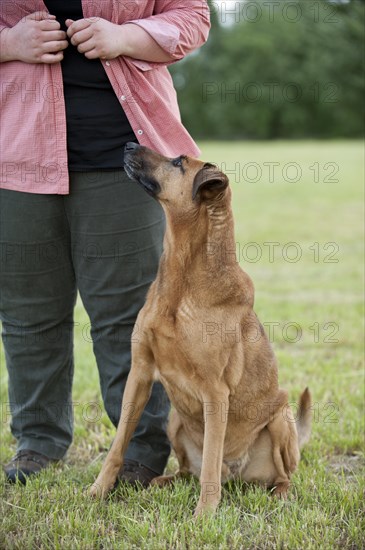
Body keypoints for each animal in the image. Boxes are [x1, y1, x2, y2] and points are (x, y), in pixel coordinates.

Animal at [90, 143, 310, 516]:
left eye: (178, 162)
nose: (129, 144)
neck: (182, 280)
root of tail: (236, 473)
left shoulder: (215, 393)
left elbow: (209, 463)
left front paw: (204, 515)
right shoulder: (140, 372)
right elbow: (118, 445)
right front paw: (97, 491)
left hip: (281, 418)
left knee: (278, 475)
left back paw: (279, 494)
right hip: (173, 421)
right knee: (187, 469)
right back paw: (162, 482)